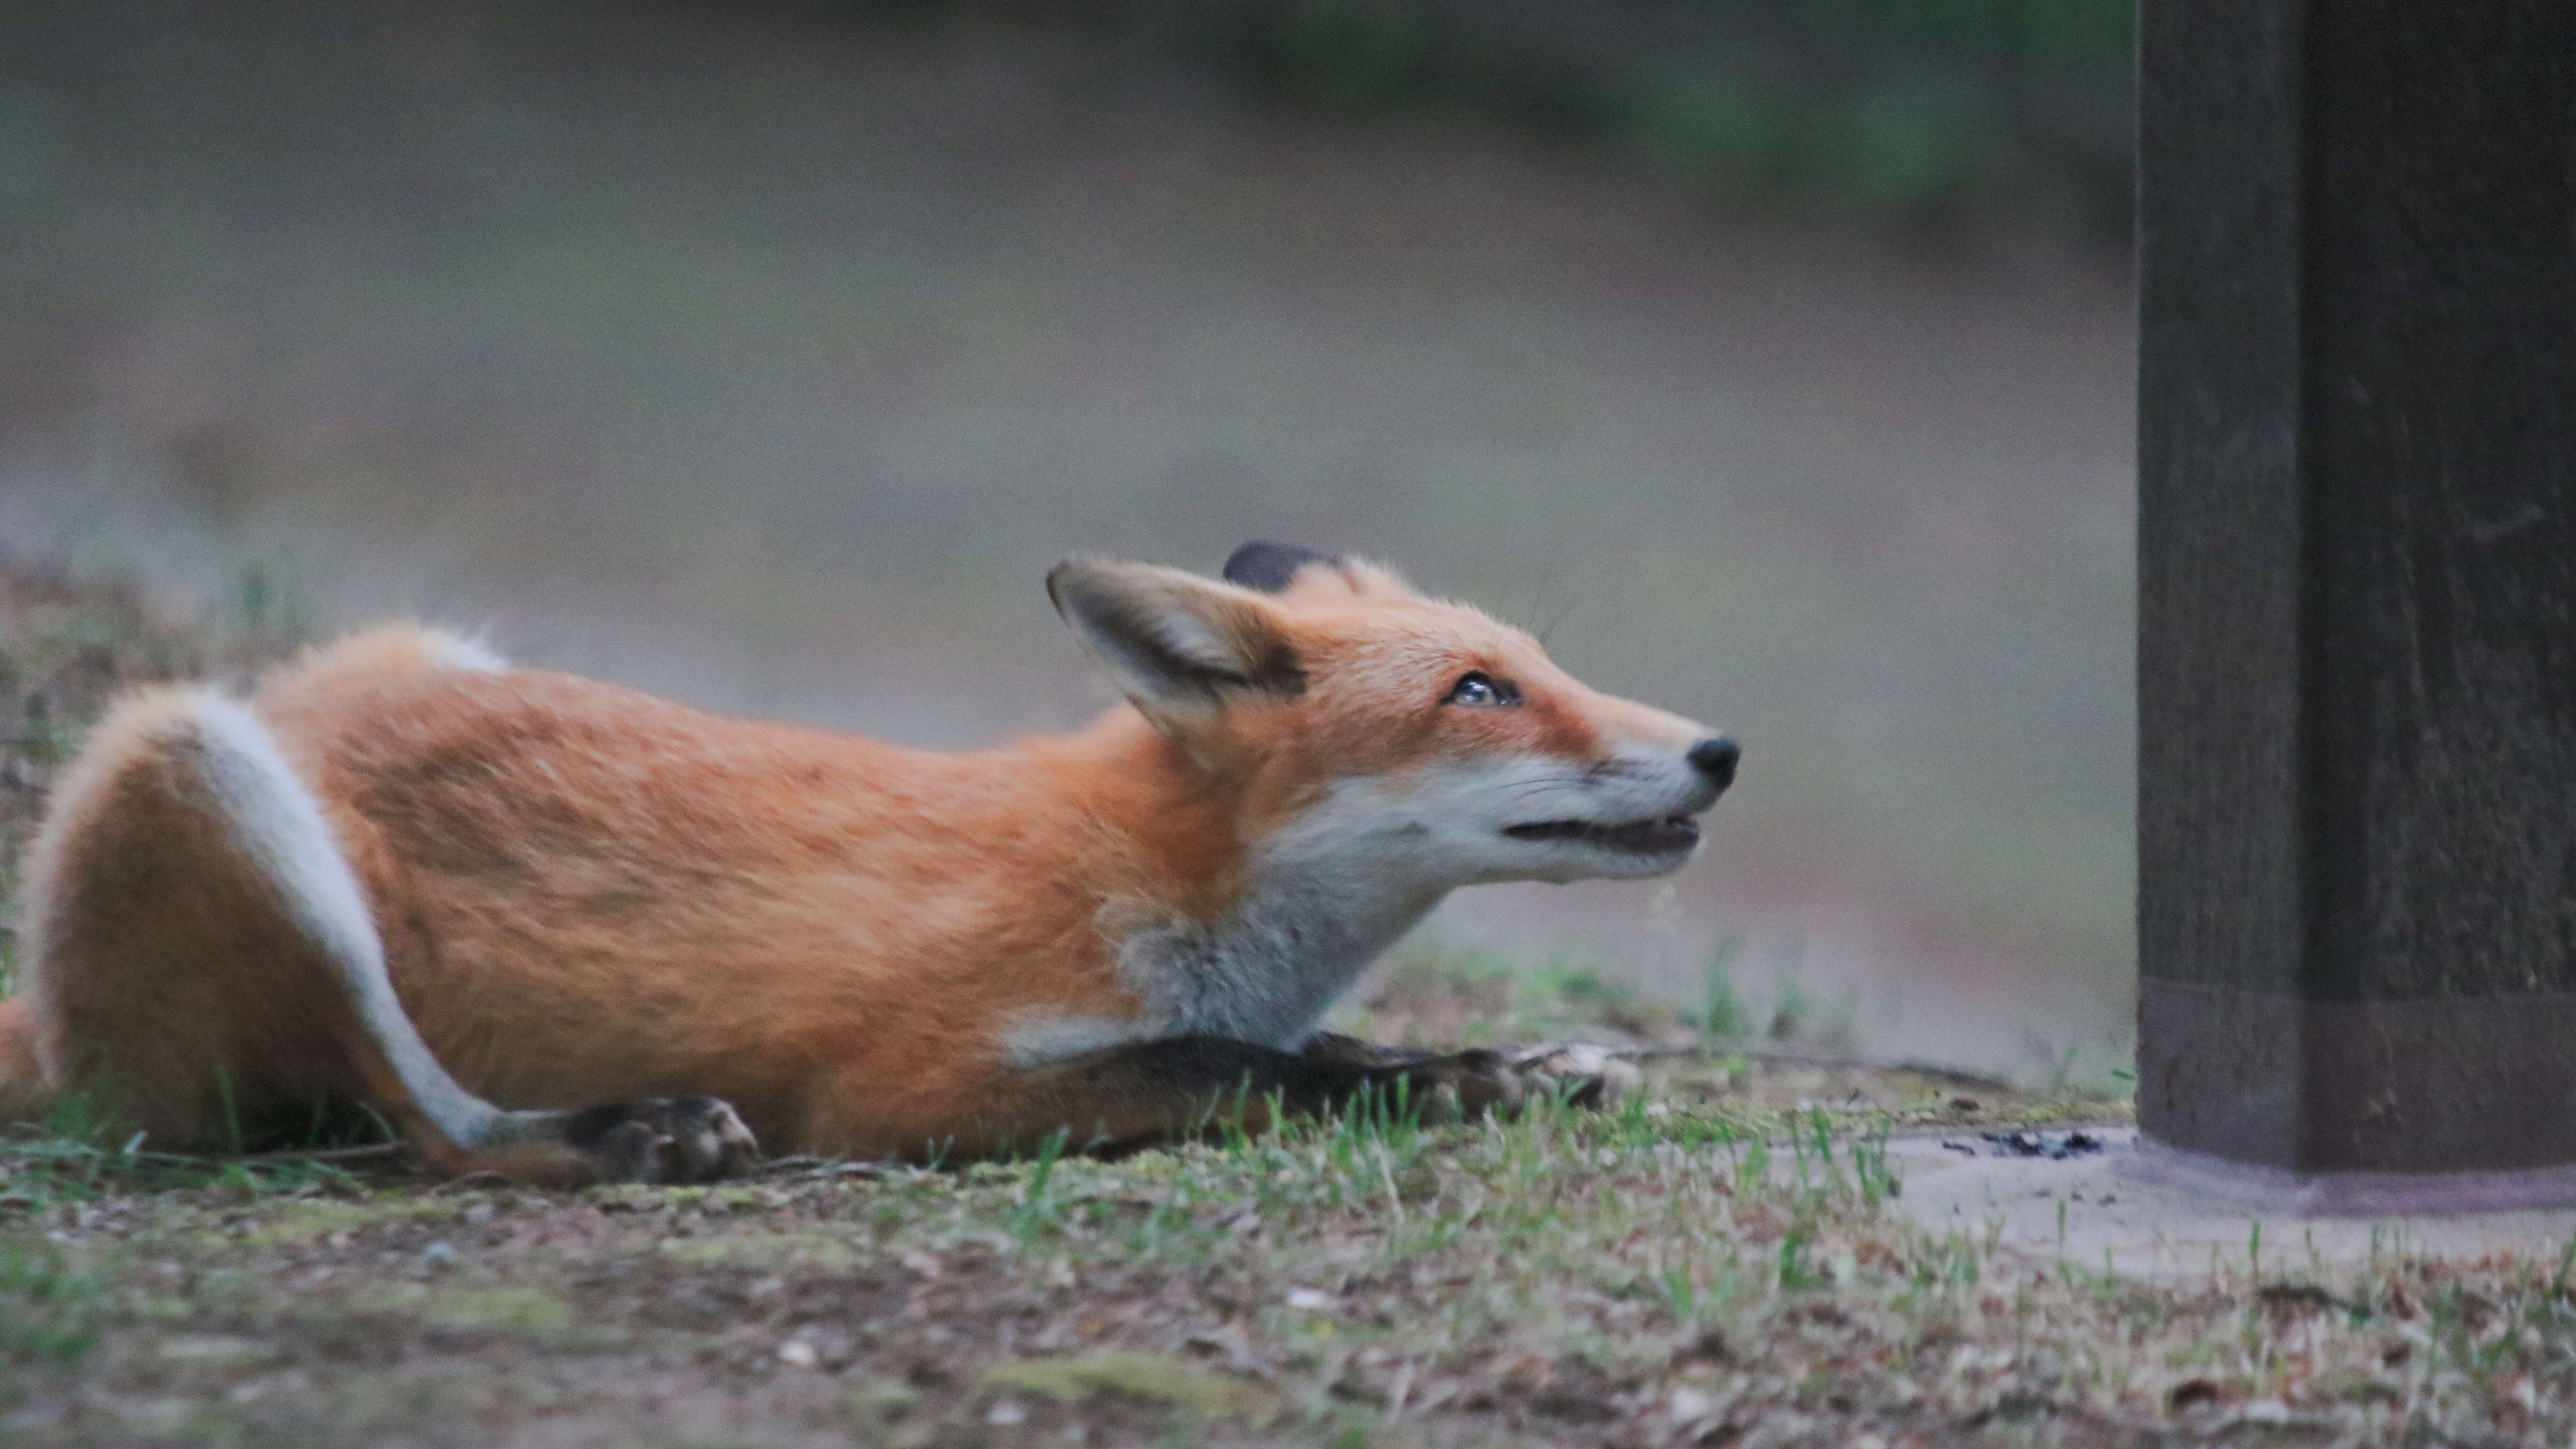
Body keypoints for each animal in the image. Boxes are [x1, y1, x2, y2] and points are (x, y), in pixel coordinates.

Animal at [0, 539, 1741, 1175]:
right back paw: (628, 1131)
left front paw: (1500, 1065)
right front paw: (1461, 1079)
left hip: (438, 646)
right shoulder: (907, 1081)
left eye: (1537, 662)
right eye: (1479, 692)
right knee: (426, 1128)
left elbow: (1336, 1052)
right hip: (196, 758)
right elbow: (1248, 1067)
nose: (1725, 747)